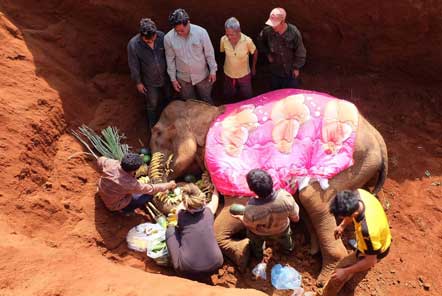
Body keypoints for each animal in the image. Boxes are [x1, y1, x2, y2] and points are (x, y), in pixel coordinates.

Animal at [150, 96, 388, 284]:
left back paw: (328, 279)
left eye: (157, 133)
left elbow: (238, 209)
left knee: (312, 197)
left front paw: (243, 255)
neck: (209, 112)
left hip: (348, 159)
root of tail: (379, 138)